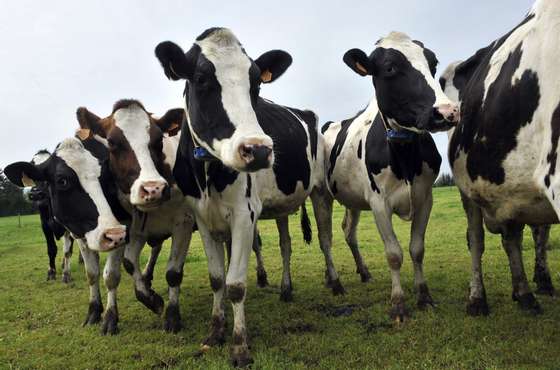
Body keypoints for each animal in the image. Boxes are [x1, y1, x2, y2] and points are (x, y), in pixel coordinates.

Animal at [154, 27, 342, 366]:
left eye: (256, 83)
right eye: (201, 78)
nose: (259, 150)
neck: (208, 174)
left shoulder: (244, 214)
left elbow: (236, 284)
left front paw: (240, 346)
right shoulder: (202, 218)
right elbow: (218, 278)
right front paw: (215, 332)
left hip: (321, 192)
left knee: (324, 239)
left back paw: (334, 282)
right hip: (281, 205)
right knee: (286, 244)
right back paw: (286, 289)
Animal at [324, 31, 460, 320]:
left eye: (433, 63)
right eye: (389, 68)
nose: (447, 112)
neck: (404, 156)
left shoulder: (425, 197)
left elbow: (417, 249)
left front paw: (424, 296)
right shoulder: (378, 203)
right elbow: (394, 254)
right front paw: (398, 304)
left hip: (353, 201)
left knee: (348, 232)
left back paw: (362, 272)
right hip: (321, 195)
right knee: (325, 238)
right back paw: (335, 282)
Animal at [440, 0, 556, 316]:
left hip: (512, 185)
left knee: (514, 235)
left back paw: (525, 293)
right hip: (469, 189)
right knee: (476, 240)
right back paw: (477, 299)